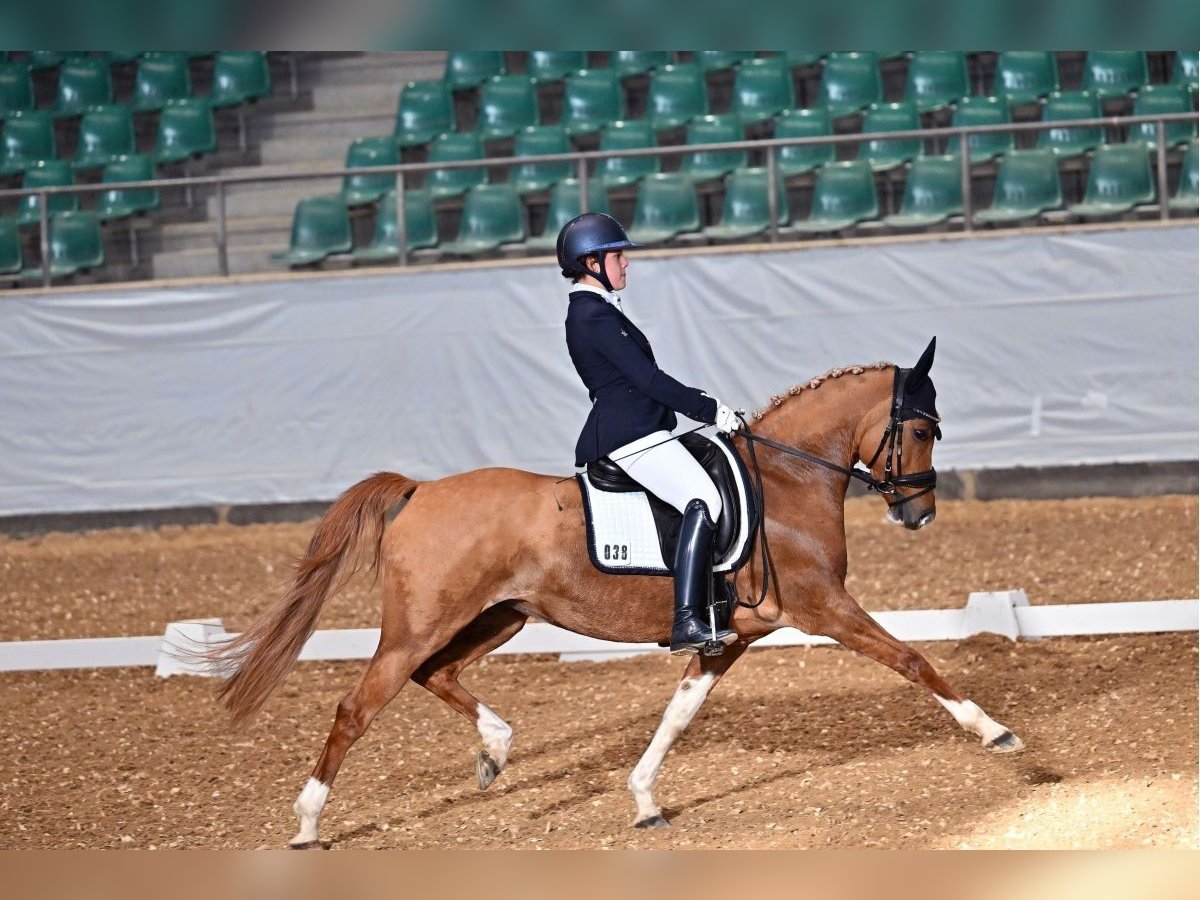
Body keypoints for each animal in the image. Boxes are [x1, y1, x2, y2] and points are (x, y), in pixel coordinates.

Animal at [208, 348, 1022, 849]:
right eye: (923, 428)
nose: (918, 514)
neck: (786, 482)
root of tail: (421, 490)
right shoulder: (824, 608)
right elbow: (913, 660)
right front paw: (996, 733)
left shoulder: (729, 639)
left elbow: (678, 715)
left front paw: (644, 801)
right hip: (421, 623)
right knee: (359, 705)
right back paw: (308, 825)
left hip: (498, 617)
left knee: (435, 674)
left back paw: (495, 750)